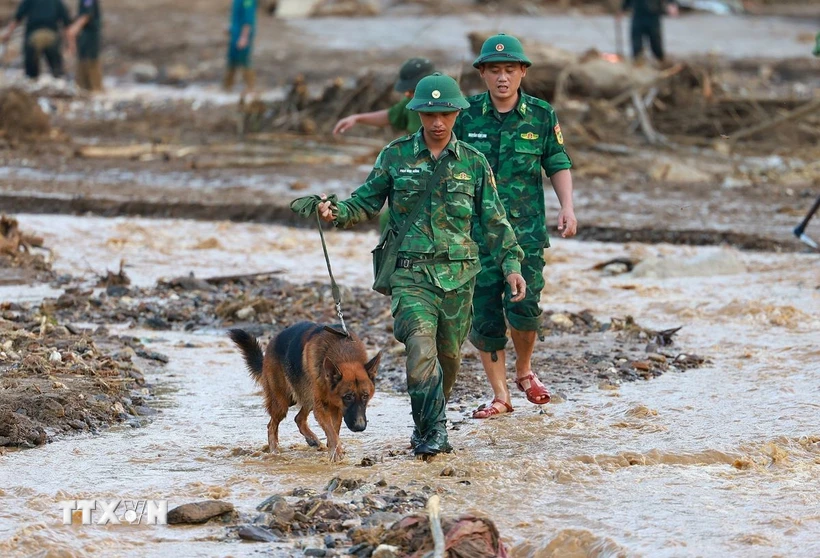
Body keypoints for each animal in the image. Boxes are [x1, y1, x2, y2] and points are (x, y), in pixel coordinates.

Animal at [227, 324, 382, 464]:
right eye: (348, 397)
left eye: (365, 396)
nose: (360, 427)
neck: (345, 355)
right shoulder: (323, 408)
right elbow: (331, 432)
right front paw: (336, 452)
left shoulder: (335, 408)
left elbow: (334, 431)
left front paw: (333, 449)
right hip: (283, 403)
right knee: (271, 426)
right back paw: (274, 452)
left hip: (307, 398)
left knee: (299, 418)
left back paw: (312, 439)